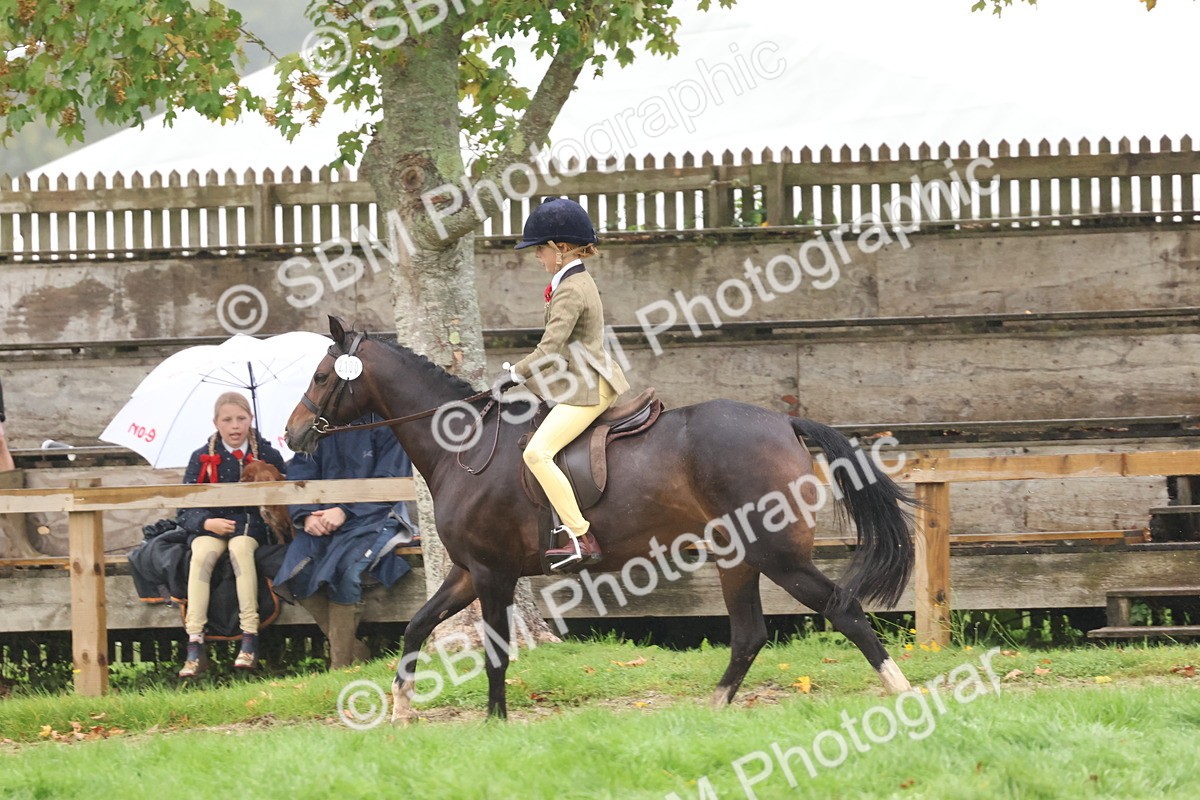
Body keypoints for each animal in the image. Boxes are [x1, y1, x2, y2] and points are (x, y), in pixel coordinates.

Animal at [285, 317, 917, 722]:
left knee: (842, 610)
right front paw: (399, 708)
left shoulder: (491, 573)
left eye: (321, 377)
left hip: (777, 554)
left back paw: (902, 692)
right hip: (736, 556)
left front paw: (495, 722)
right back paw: (713, 710)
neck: (464, 446)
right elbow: (417, 627)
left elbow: (494, 652)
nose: (292, 435)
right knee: (749, 634)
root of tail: (784, 423)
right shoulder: (466, 571)